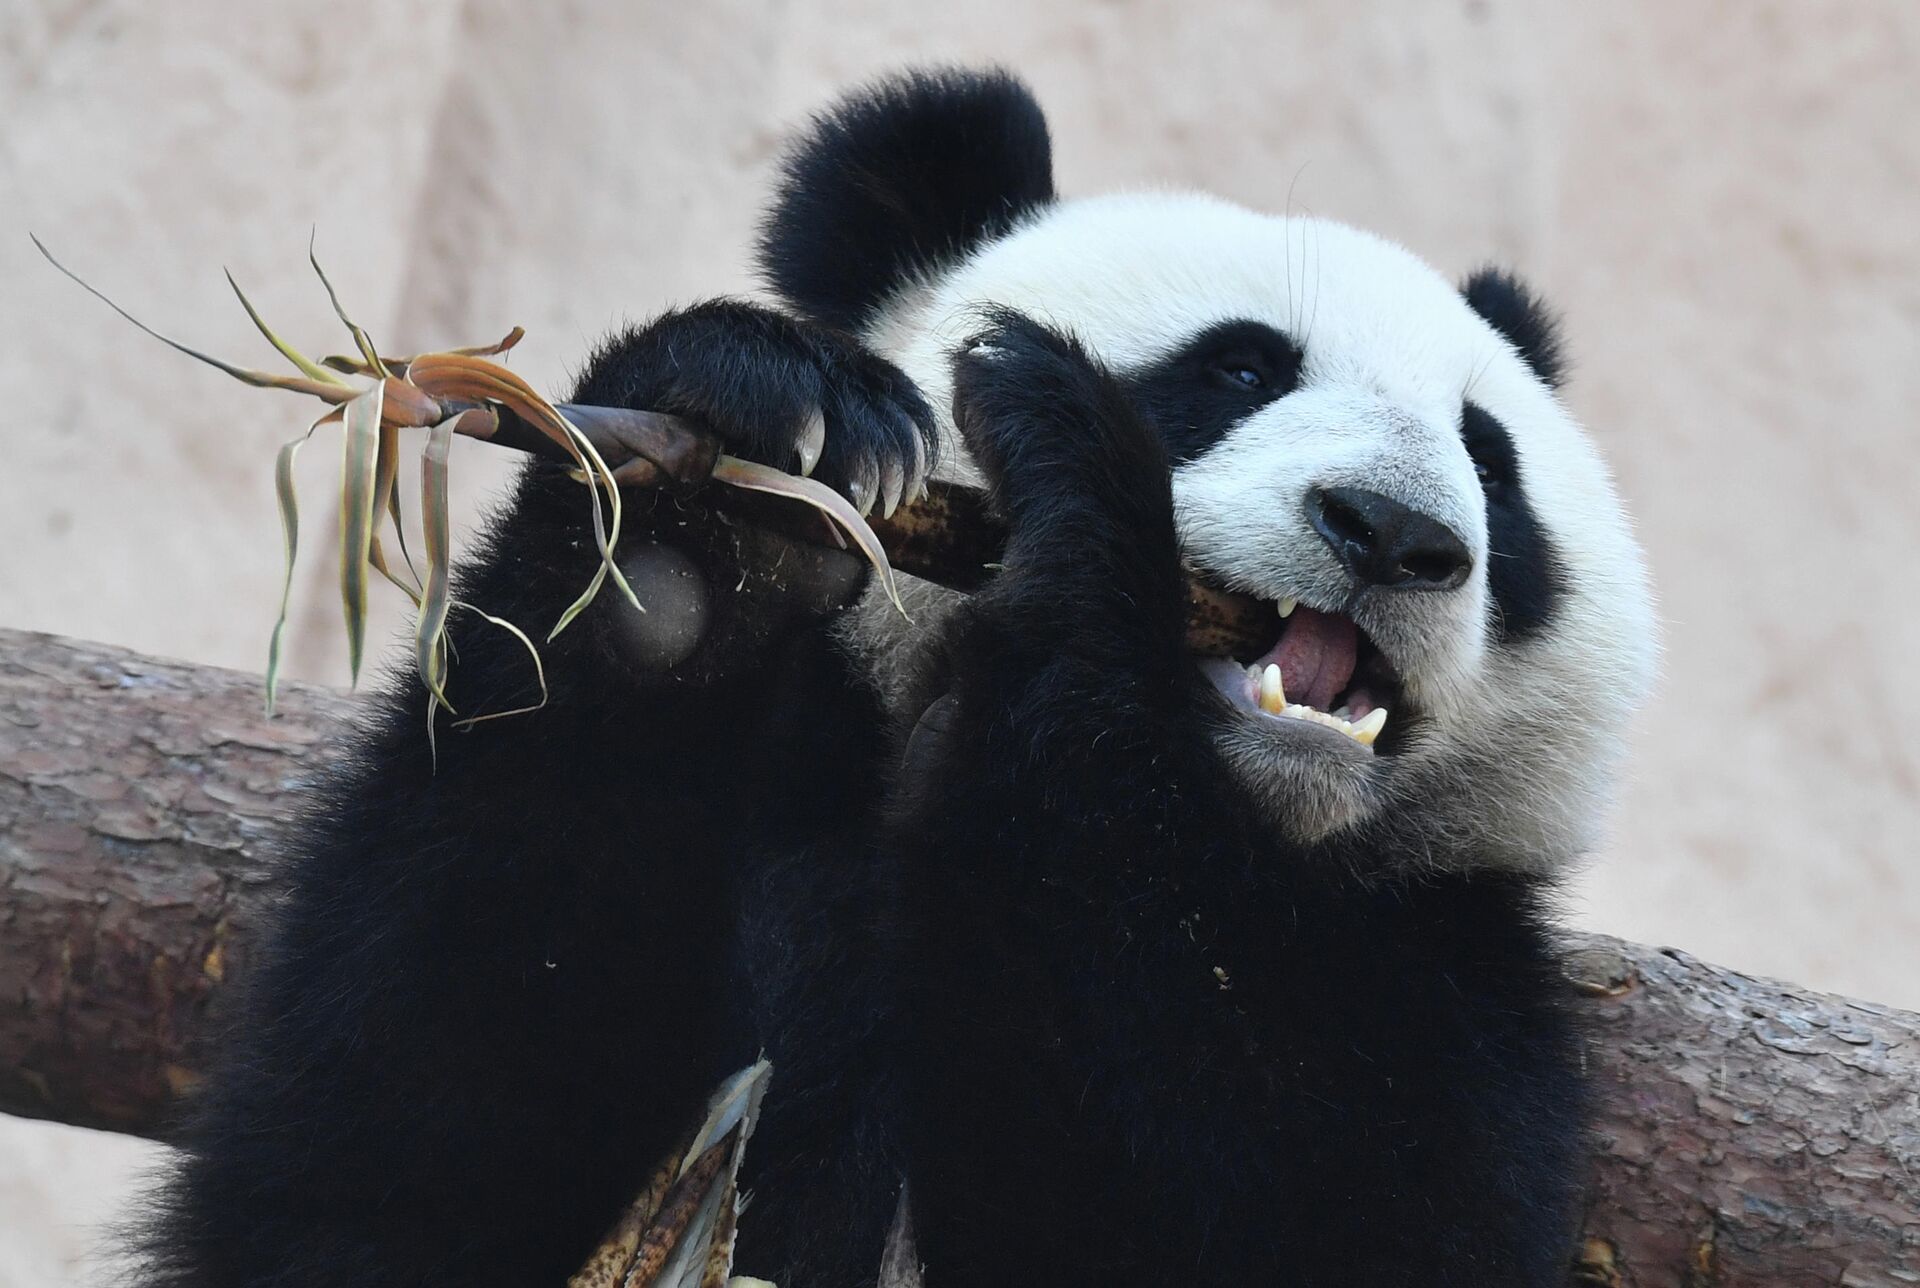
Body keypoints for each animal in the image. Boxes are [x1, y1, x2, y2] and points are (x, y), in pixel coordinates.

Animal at [145, 70, 1651, 1288]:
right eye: (1236, 369)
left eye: (1492, 463)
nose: (1393, 532)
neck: (1231, 828)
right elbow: (382, 1153)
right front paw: (710, 522)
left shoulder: (1450, 990)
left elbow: (1288, 1219)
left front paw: (1076, 482)